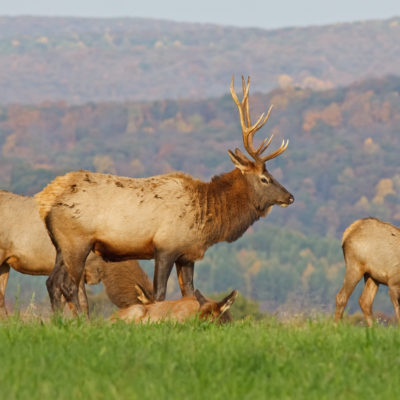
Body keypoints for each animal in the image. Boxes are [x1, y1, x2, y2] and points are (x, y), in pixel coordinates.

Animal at [36, 76, 294, 316]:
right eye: (264, 178)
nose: (290, 197)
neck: (206, 219)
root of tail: (45, 201)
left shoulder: (187, 254)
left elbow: (189, 292)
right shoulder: (165, 247)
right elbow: (159, 293)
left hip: (61, 246)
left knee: (52, 282)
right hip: (77, 242)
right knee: (68, 285)